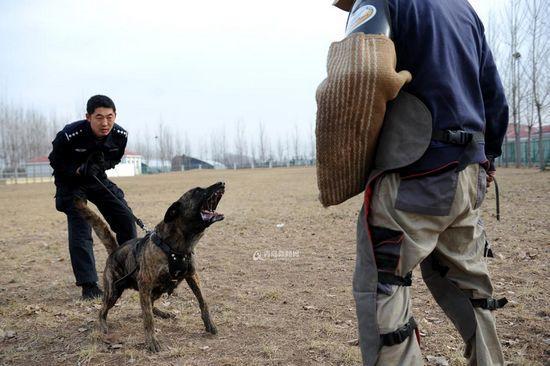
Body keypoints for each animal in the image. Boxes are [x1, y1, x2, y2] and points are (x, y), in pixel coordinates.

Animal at [76, 182, 226, 352]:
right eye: (197, 191)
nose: (221, 183)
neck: (176, 247)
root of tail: (115, 251)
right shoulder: (145, 284)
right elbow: (148, 319)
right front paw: (151, 341)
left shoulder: (192, 276)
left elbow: (203, 302)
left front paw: (209, 324)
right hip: (113, 292)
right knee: (102, 311)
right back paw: (102, 326)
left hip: (154, 291)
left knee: (151, 304)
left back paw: (162, 313)